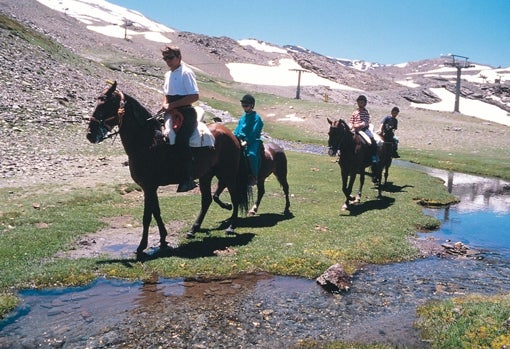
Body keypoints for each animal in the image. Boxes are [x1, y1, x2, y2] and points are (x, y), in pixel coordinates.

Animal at [86, 81, 250, 256]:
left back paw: (230, 226)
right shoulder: (150, 188)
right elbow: (156, 212)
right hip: (206, 175)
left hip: (228, 174)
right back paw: (193, 229)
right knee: (206, 200)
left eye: (106, 104)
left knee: (235, 197)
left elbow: (147, 216)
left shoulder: (148, 187)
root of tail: (231, 135)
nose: (90, 135)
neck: (147, 142)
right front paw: (163, 239)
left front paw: (141, 246)